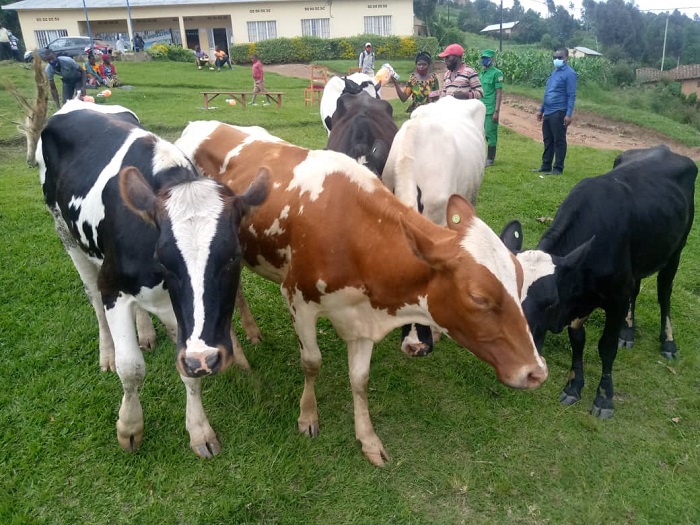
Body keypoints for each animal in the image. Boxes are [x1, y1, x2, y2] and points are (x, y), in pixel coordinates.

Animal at [39, 100, 268, 456]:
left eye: (234, 256)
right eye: (164, 259)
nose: (205, 357)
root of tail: (76, 103)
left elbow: (188, 373)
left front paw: (199, 430)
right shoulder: (112, 286)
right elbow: (131, 368)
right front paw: (130, 426)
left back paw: (146, 332)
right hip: (65, 233)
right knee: (92, 297)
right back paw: (107, 352)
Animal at [176, 122, 548, 462]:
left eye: (518, 282)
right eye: (479, 297)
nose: (536, 372)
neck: (353, 233)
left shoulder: (363, 316)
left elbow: (360, 379)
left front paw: (367, 438)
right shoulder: (297, 298)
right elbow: (312, 362)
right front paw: (308, 416)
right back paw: (239, 356)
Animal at [500, 145, 696, 420]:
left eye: (550, 302)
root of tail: (664, 149)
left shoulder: (615, 298)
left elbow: (606, 347)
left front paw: (604, 398)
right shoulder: (583, 299)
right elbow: (577, 340)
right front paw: (573, 386)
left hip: (675, 250)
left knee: (664, 293)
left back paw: (668, 342)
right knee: (636, 290)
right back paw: (628, 331)